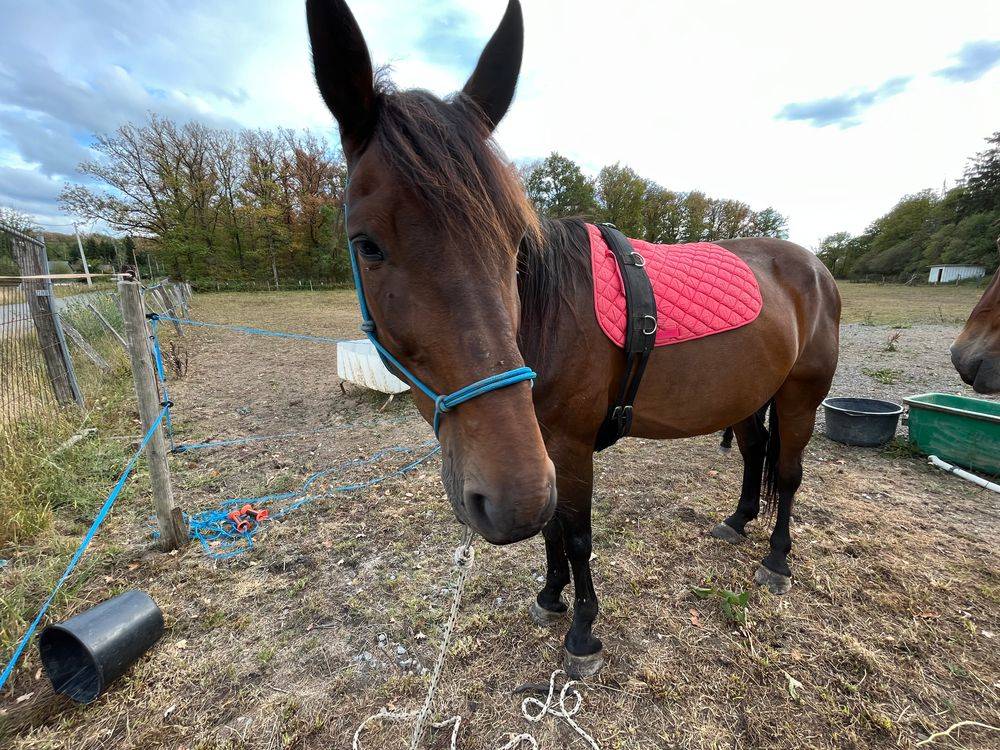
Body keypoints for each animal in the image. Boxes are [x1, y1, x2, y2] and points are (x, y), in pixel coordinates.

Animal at [306, 0, 841, 677]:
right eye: (367, 244)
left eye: (514, 242)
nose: (507, 501)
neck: (544, 323)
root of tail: (814, 266)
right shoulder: (540, 449)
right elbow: (552, 528)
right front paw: (550, 596)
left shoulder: (569, 444)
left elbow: (578, 532)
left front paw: (583, 631)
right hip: (747, 396)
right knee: (753, 455)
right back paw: (738, 521)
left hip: (799, 398)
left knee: (789, 473)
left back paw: (776, 558)